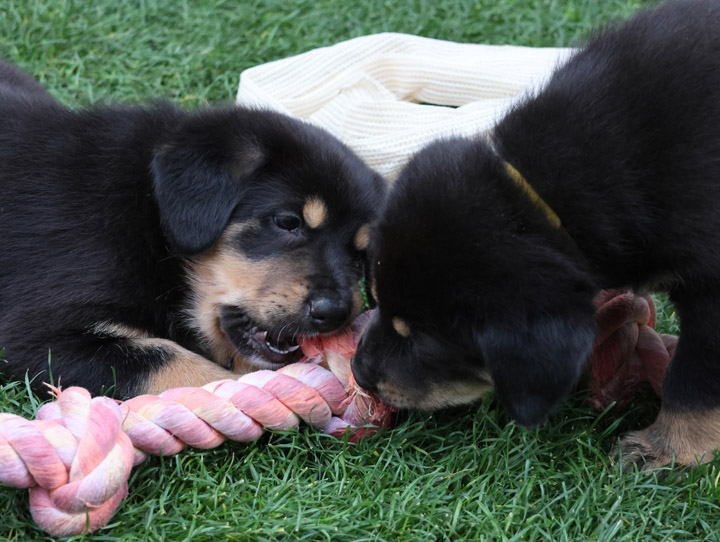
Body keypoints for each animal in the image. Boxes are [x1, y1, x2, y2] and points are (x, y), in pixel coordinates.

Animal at [0, 61, 386, 400]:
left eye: (360, 255)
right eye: (288, 222)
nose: (335, 313)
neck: (150, 218)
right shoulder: (37, 333)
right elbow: (177, 364)